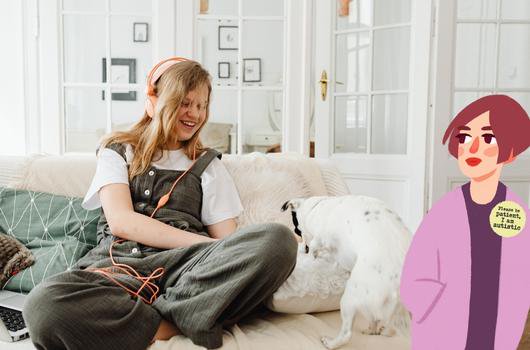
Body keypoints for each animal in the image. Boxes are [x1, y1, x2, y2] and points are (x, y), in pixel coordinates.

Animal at [282, 196, 410, 348]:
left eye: (296, 230)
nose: (303, 246)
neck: (315, 207)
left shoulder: (318, 241)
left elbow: (314, 249)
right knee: (381, 324)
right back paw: (373, 330)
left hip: (350, 298)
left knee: (347, 334)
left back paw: (330, 343)